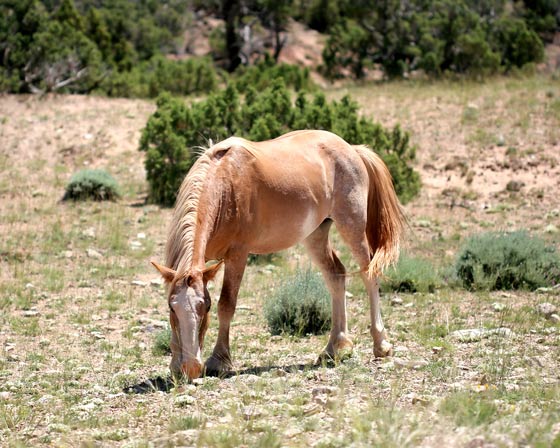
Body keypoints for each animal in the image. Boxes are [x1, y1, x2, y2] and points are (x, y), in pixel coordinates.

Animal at [152, 128, 406, 380]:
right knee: (336, 276)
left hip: (352, 226)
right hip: (315, 235)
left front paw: (219, 361)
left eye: (205, 306)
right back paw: (334, 348)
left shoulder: (238, 254)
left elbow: (227, 304)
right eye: (172, 308)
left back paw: (381, 344)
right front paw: (175, 364)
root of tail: (352, 149)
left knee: (369, 274)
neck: (225, 187)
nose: (191, 368)